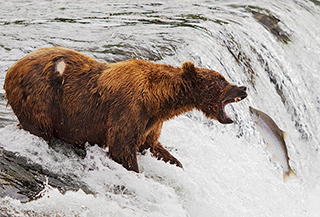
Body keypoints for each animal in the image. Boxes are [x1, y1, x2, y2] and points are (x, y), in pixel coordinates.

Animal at [3, 46, 248, 172]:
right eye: (221, 80)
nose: (243, 88)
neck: (158, 98)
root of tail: (11, 68)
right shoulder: (129, 109)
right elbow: (122, 147)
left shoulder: (151, 121)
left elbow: (152, 145)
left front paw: (175, 162)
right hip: (41, 97)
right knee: (40, 127)